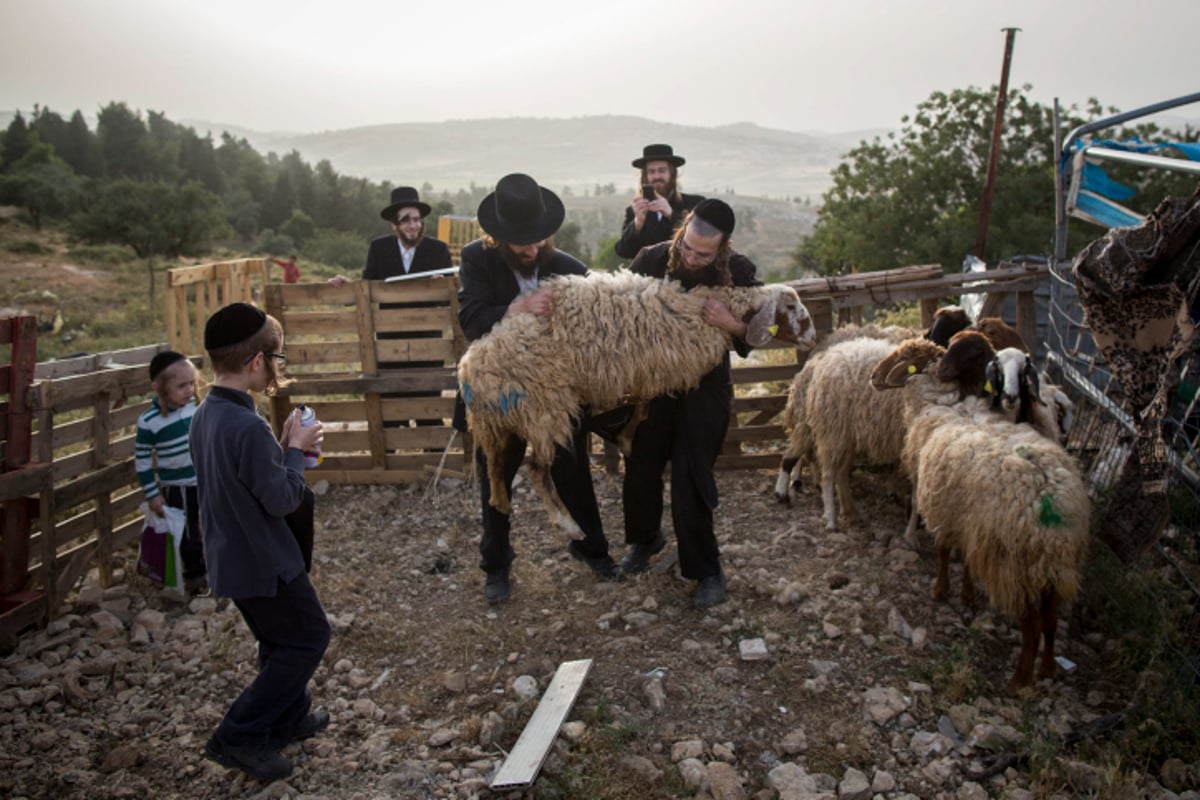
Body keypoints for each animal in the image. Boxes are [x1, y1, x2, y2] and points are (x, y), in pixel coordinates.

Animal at [458, 271, 816, 537]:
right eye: (792, 308)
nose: (812, 339)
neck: (701, 309)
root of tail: (471, 367)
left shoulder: (644, 369)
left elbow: (643, 406)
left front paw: (626, 439)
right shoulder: (647, 365)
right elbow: (642, 405)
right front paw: (626, 437)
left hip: (496, 421)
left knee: (493, 463)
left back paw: (501, 502)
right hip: (544, 407)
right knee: (536, 468)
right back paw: (569, 525)